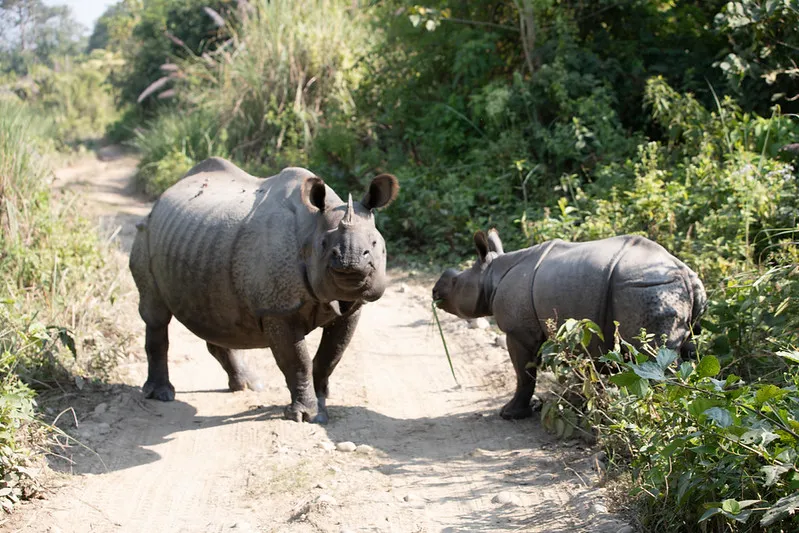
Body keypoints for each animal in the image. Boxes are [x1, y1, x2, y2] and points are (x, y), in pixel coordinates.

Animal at [129, 157, 399, 423]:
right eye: (324, 245)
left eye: (375, 243)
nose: (350, 261)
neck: (311, 227)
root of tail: (164, 194)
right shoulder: (277, 309)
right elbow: (297, 361)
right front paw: (306, 415)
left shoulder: (352, 307)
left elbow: (331, 356)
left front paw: (322, 402)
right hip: (146, 231)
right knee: (156, 315)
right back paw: (162, 394)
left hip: (201, 242)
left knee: (216, 311)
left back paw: (248, 385)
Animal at [432, 230, 707, 420]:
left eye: (455, 282)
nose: (435, 291)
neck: (491, 275)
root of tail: (686, 274)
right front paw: (585, 406)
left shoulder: (519, 332)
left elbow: (524, 373)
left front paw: (509, 414)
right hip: (665, 289)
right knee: (683, 353)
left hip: (647, 287)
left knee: (652, 359)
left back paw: (658, 418)